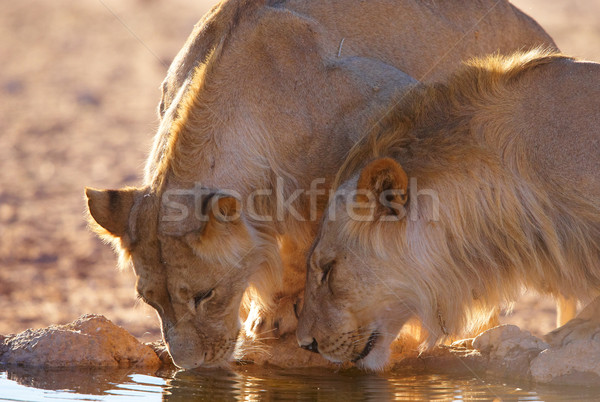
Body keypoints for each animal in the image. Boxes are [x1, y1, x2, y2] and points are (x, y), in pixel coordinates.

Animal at [84, 0, 552, 368]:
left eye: (205, 295)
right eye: (150, 301)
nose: (189, 367)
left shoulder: (385, 108)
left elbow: (317, 250)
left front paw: (290, 315)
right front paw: (271, 315)